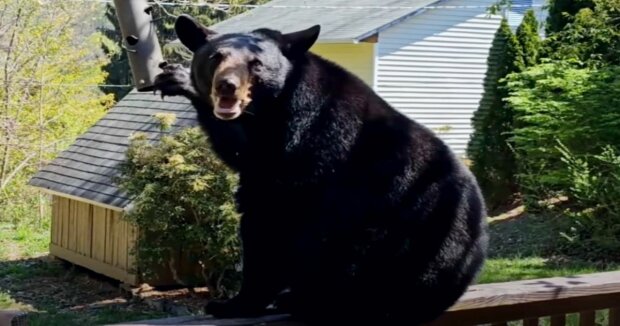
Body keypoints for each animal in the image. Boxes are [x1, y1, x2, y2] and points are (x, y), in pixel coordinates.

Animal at [154, 14, 490, 324]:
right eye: (216, 57)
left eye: (256, 64)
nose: (227, 87)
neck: (275, 105)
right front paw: (177, 78)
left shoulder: (305, 135)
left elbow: (265, 220)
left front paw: (235, 303)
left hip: (400, 244)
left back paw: (305, 300)